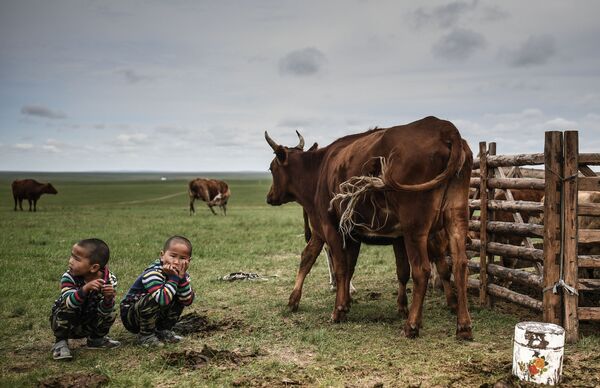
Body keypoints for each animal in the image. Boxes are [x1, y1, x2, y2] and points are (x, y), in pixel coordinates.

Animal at [266, 116, 474, 340]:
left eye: (271, 168)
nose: (269, 197)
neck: (320, 169)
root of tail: (445, 128)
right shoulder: (351, 234)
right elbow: (343, 265)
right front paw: (342, 301)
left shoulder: (329, 228)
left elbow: (333, 265)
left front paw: (337, 309)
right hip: (455, 220)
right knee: (460, 265)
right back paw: (463, 326)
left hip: (415, 229)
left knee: (422, 270)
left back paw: (412, 325)